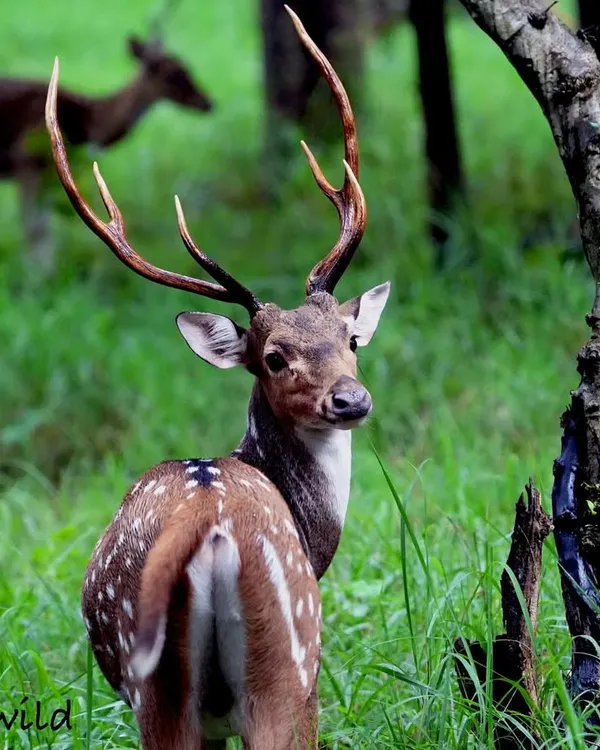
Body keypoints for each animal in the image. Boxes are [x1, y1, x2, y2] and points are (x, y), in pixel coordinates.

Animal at [1, 35, 212, 272]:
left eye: (187, 67)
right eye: (174, 73)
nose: (207, 102)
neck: (85, 125)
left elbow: (40, 226)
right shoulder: (25, 160)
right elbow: (34, 228)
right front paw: (39, 274)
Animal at [46, 7, 389, 749]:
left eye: (350, 339)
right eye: (274, 357)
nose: (350, 399)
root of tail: (207, 530)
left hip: (160, 686)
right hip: (286, 663)